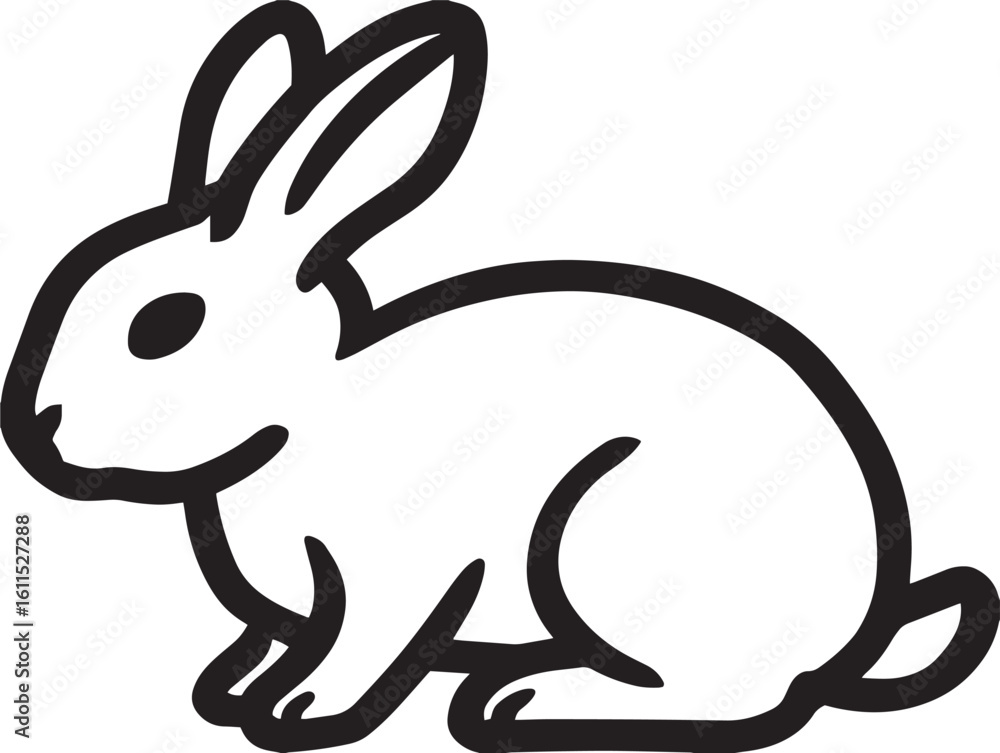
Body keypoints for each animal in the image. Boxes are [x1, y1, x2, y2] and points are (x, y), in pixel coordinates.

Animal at [2, 2, 996, 752]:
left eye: (163, 326)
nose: (40, 427)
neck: (300, 418)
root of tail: (852, 635)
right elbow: (283, 639)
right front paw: (242, 693)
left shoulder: (392, 582)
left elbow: (363, 645)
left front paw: (304, 712)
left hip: (604, 545)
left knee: (721, 694)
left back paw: (528, 705)